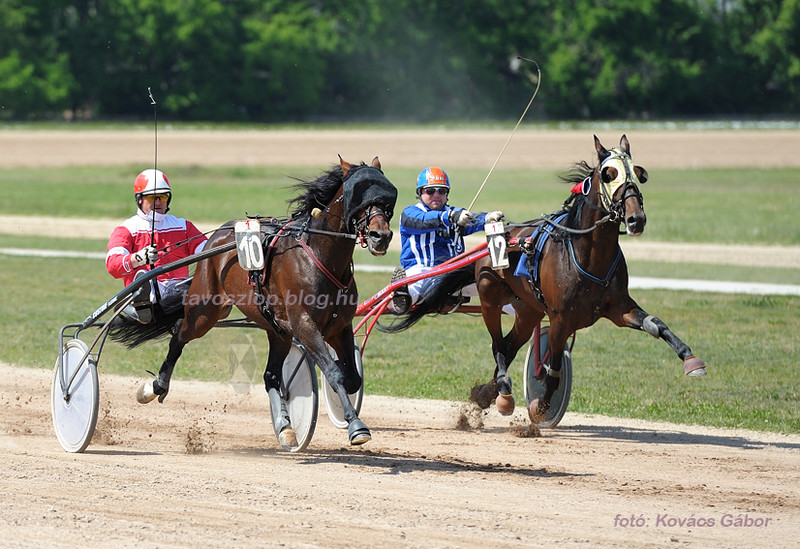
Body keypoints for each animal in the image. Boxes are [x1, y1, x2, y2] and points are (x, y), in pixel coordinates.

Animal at [111, 156, 398, 448]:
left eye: (386, 197)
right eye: (360, 196)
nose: (381, 236)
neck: (320, 258)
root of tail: (216, 238)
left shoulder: (338, 327)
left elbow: (351, 378)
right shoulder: (305, 325)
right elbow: (335, 374)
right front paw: (356, 427)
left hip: (277, 330)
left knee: (271, 376)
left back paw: (286, 427)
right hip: (205, 311)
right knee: (179, 334)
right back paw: (155, 386)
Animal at [388, 135, 708, 422]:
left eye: (638, 174)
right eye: (609, 174)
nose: (635, 219)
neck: (588, 255)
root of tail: (492, 241)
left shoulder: (618, 307)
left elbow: (656, 324)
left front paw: (691, 360)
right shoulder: (559, 319)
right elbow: (552, 369)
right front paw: (541, 407)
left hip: (526, 309)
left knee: (508, 346)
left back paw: (488, 394)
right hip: (490, 299)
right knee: (497, 346)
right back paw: (503, 393)